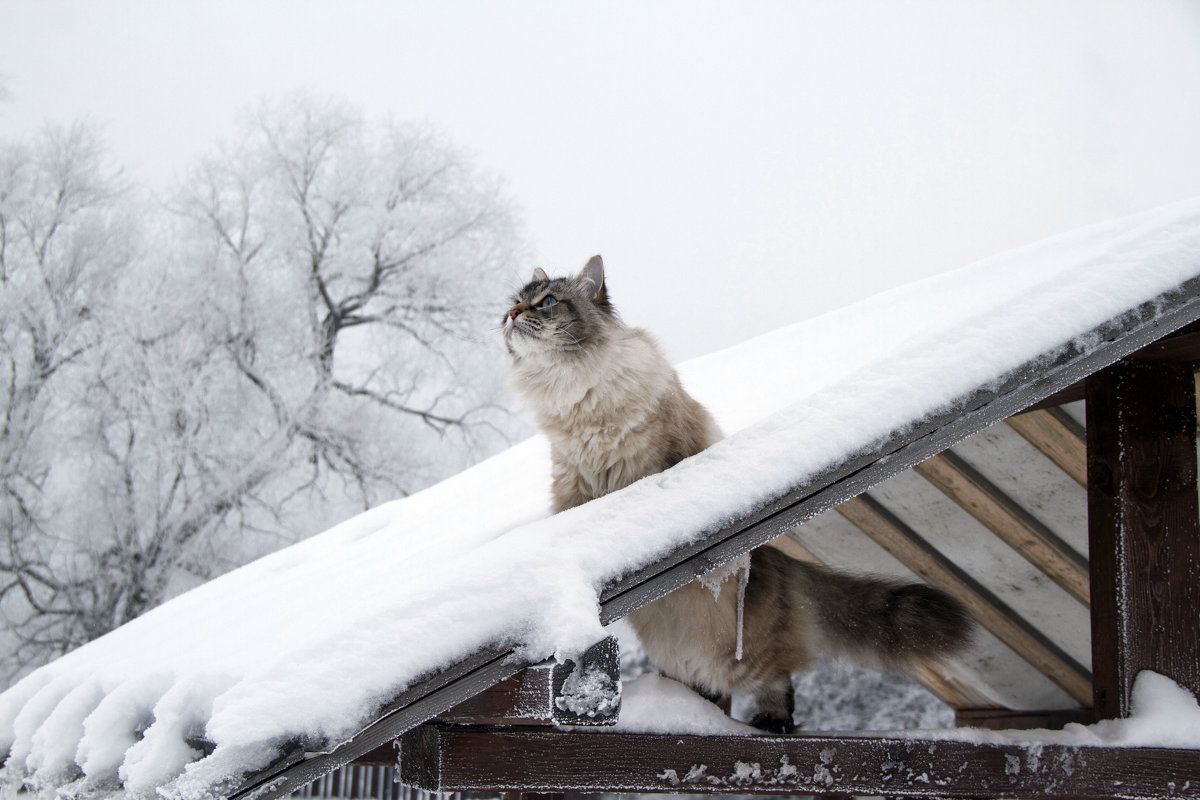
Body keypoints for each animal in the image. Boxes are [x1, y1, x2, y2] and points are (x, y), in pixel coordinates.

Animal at [501, 256, 969, 734]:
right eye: (514, 303)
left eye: (547, 303)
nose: (512, 315)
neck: (570, 389)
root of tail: (784, 561)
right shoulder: (571, 480)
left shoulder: (659, 450)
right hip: (680, 655)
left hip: (744, 654)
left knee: (778, 681)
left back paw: (770, 721)